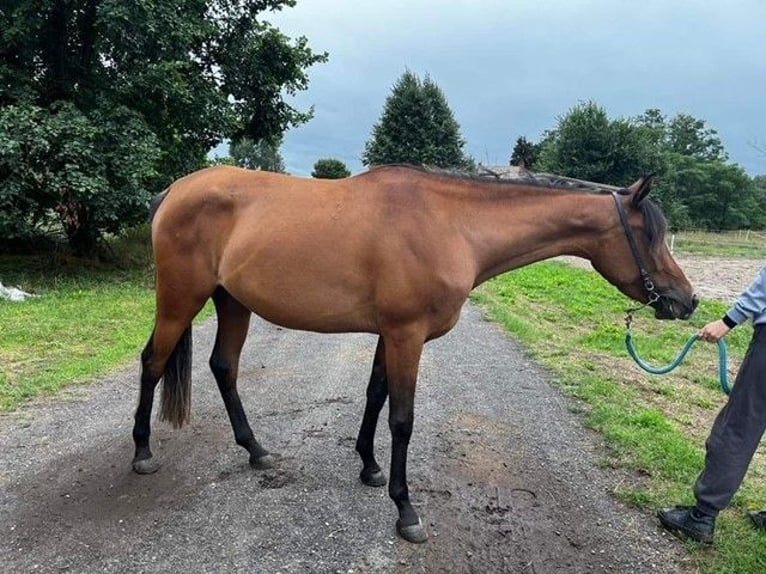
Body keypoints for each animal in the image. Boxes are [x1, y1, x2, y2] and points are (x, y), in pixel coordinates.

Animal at [134, 165, 704, 544]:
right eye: (651, 237)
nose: (688, 300)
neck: (451, 224)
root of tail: (175, 190)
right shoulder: (407, 335)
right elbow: (403, 418)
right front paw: (405, 509)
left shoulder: (390, 335)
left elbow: (375, 395)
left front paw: (368, 466)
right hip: (181, 300)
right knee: (153, 364)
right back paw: (142, 453)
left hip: (232, 302)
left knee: (223, 368)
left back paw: (256, 450)